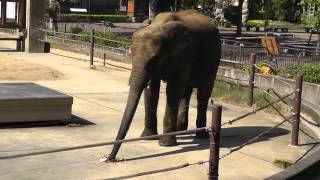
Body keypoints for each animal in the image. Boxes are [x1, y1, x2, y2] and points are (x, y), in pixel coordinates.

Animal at [107, 9, 220, 161]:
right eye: (131, 55)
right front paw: (148, 138)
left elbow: (173, 90)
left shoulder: (185, 54)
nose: (110, 158)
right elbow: (152, 90)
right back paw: (180, 131)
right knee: (186, 92)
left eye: (155, 58)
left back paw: (201, 135)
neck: (159, 24)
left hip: (214, 60)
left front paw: (165, 144)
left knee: (203, 92)